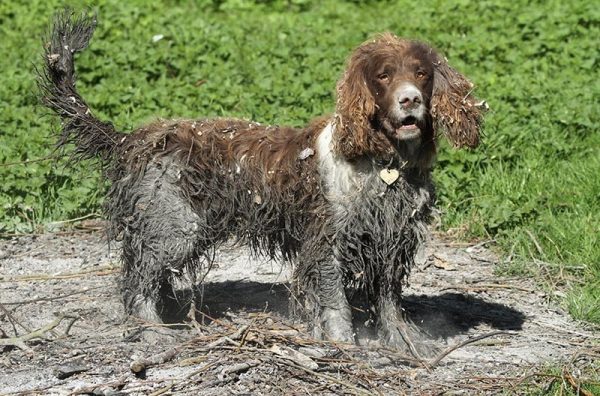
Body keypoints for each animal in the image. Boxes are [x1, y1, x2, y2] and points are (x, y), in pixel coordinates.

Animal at [39, 11, 482, 352]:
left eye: (421, 73)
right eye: (384, 76)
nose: (410, 99)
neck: (383, 163)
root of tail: (131, 139)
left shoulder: (392, 241)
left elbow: (389, 302)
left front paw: (405, 341)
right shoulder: (327, 243)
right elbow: (336, 304)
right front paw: (344, 345)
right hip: (174, 228)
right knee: (137, 282)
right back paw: (154, 332)